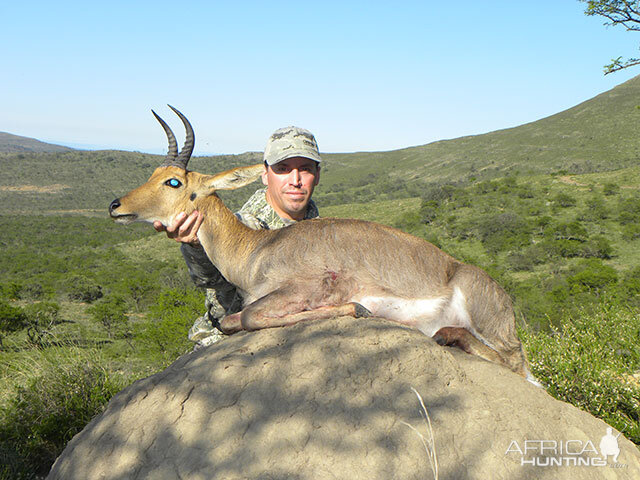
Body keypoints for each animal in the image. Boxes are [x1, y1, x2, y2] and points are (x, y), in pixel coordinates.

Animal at [109, 106, 536, 382]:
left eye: (174, 182)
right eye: (154, 173)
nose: (116, 206)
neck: (256, 250)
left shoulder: (303, 287)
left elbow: (246, 318)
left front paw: (356, 308)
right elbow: (234, 319)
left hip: (490, 324)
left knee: (518, 367)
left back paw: (447, 335)